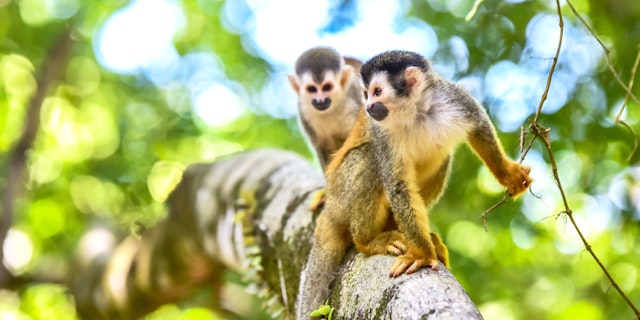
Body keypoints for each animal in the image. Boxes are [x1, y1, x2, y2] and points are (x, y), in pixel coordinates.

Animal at [298, 50, 532, 318]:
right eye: (366, 94)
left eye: (377, 92)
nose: (368, 107)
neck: (415, 111)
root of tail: (330, 206)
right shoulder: (382, 132)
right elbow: (398, 185)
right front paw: (421, 254)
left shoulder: (452, 98)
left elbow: (479, 125)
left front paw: (507, 174)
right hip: (341, 195)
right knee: (368, 157)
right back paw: (368, 241)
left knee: (443, 157)